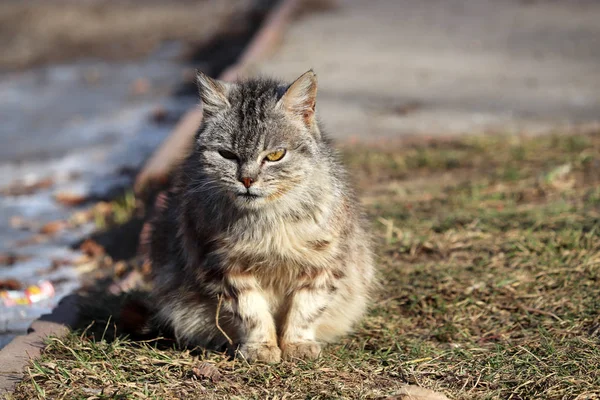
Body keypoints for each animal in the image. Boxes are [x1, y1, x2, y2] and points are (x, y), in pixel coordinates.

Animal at [144, 69, 376, 362]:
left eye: (275, 155)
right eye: (227, 154)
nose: (247, 179)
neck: (268, 222)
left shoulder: (324, 262)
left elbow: (306, 308)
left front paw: (297, 344)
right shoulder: (222, 265)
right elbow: (250, 311)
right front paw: (260, 347)